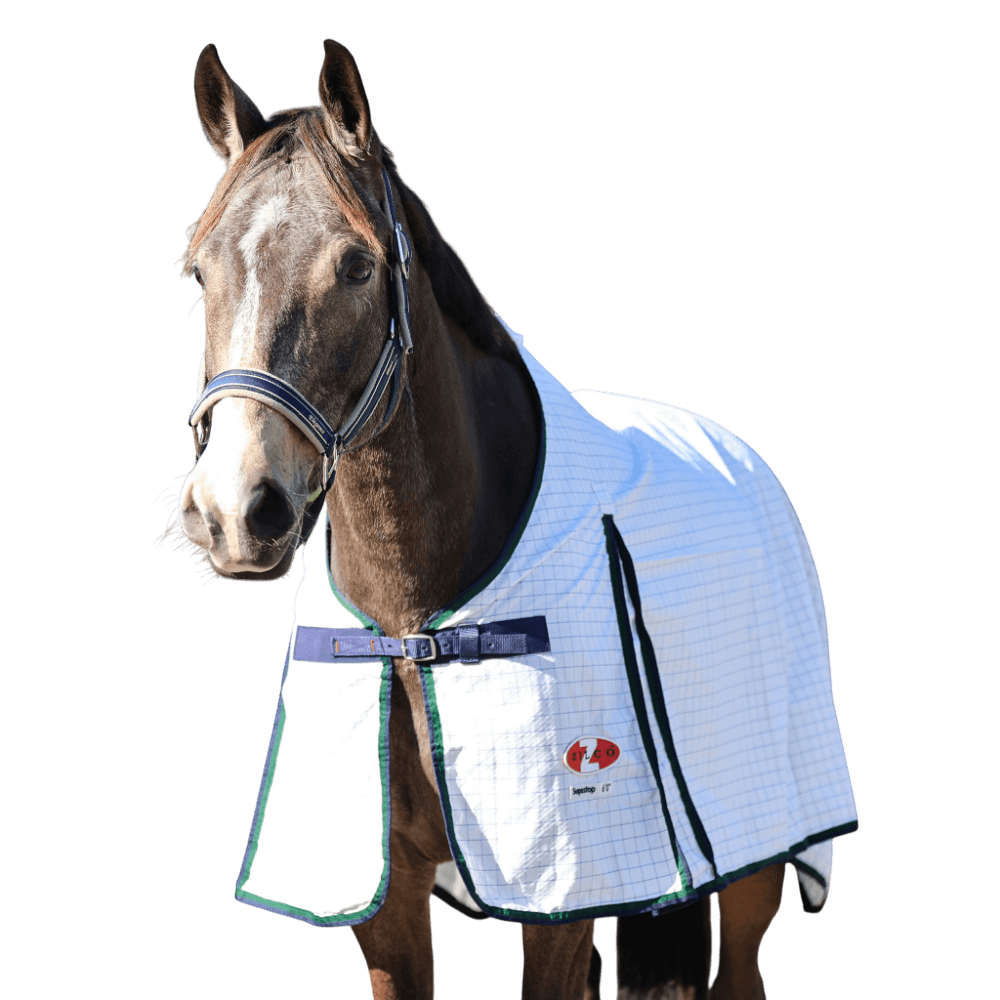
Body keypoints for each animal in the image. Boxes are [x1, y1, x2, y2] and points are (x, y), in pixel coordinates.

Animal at [161, 38, 854, 1000]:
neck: (414, 623)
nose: (233, 509)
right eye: (198, 271)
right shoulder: (384, 905)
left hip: (760, 860)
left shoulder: (558, 902)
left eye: (358, 266)